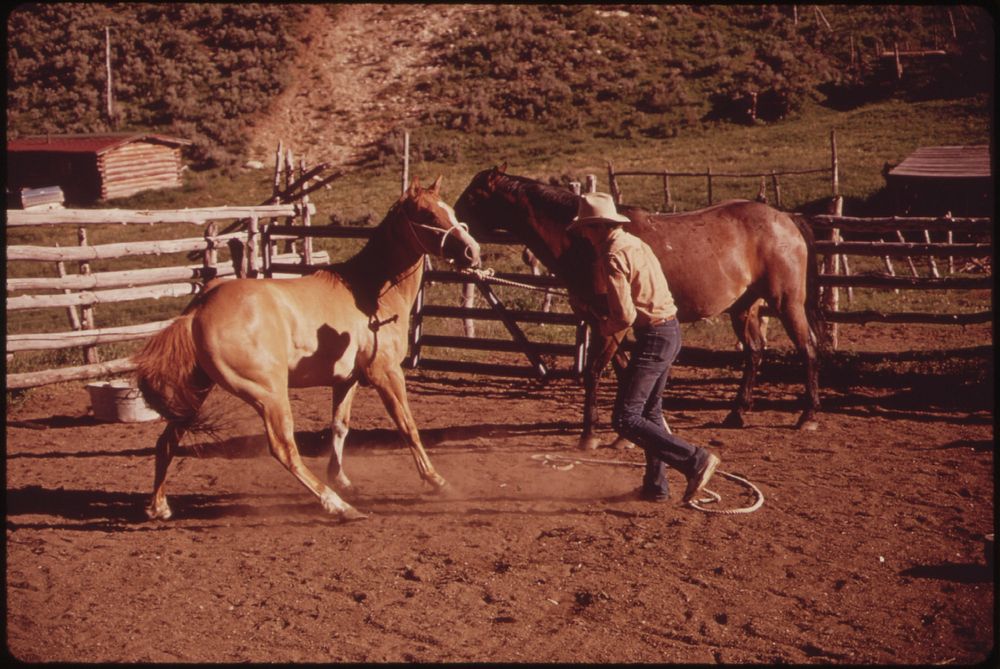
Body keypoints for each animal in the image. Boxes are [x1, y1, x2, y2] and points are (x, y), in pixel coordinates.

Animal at [132, 177, 480, 520]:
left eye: (449, 210)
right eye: (428, 214)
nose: (472, 251)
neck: (371, 292)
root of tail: (201, 307)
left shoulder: (347, 380)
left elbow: (340, 427)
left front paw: (341, 478)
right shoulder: (386, 374)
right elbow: (408, 427)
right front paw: (438, 482)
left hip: (198, 391)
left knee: (167, 441)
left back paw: (159, 507)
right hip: (269, 394)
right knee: (284, 449)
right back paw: (339, 506)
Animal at [458, 163, 824, 448]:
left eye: (473, 196)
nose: (456, 232)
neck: (589, 242)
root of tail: (786, 219)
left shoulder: (611, 324)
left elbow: (595, 373)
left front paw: (589, 435)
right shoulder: (606, 325)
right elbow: (622, 373)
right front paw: (622, 434)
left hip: (786, 302)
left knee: (806, 347)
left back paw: (807, 416)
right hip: (744, 308)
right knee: (754, 353)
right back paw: (736, 414)